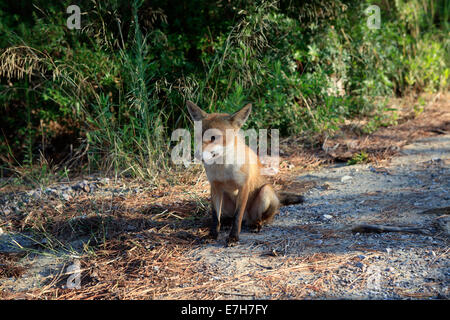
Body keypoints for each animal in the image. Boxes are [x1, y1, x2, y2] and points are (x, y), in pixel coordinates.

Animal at [186, 101, 302, 246]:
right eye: (197, 136)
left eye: (214, 137)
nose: (196, 155)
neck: (223, 168)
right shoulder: (215, 187)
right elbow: (215, 217)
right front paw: (213, 235)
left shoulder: (243, 187)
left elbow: (237, 217)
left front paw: (233, 237)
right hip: (223, 198)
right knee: (227, 217)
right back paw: (226, 223)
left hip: (265, 192)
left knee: (259, 218)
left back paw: (256, 224)